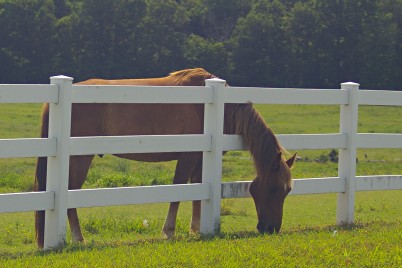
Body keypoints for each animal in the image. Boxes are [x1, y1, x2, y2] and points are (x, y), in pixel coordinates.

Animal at [33, 68, 296, 248]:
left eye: (288, 191)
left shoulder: (200, 160)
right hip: (79, 158)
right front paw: (169, 231)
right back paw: (79, 239)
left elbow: (197, 193)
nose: (271, 229)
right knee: (70, 195)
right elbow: (178, 190)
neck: (212, 106)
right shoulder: (188, 157)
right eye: (274, 189)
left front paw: (195, 229)